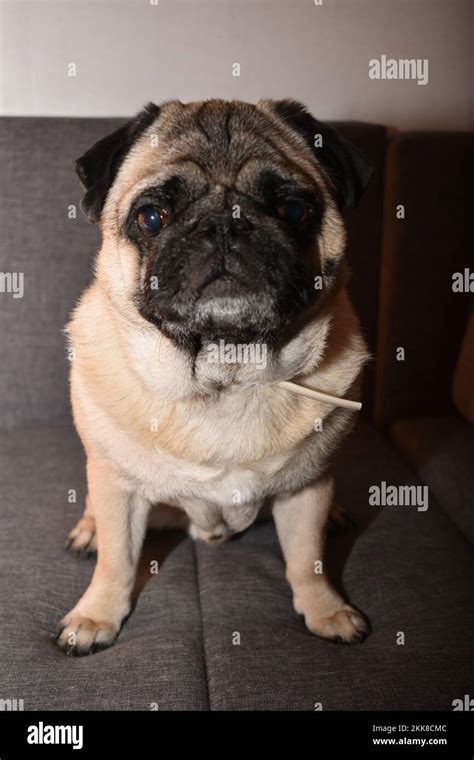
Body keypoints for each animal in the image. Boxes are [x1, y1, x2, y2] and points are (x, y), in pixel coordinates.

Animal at [57, 98, 372, 656]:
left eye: (293, 210)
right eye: (152, 217)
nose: (225, 224)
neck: (227, 375)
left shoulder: (306, 490)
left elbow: (307, 558)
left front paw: (326, 609)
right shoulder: (120, 489)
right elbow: (117, 561)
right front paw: (96, 616)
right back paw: (89, 531)